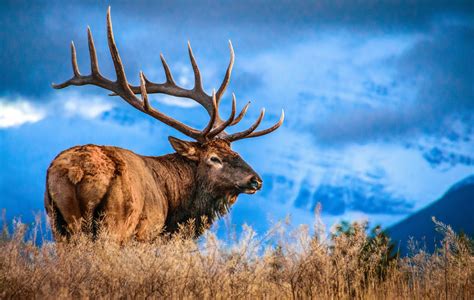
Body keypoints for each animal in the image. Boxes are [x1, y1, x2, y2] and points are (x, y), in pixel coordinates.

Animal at [44, 8, 284, 243]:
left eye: (236, 153)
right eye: (214, 158)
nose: (256, 181)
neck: (174, 206)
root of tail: (76, 171)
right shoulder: (146, 233)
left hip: (57, 223)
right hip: (114, 223)